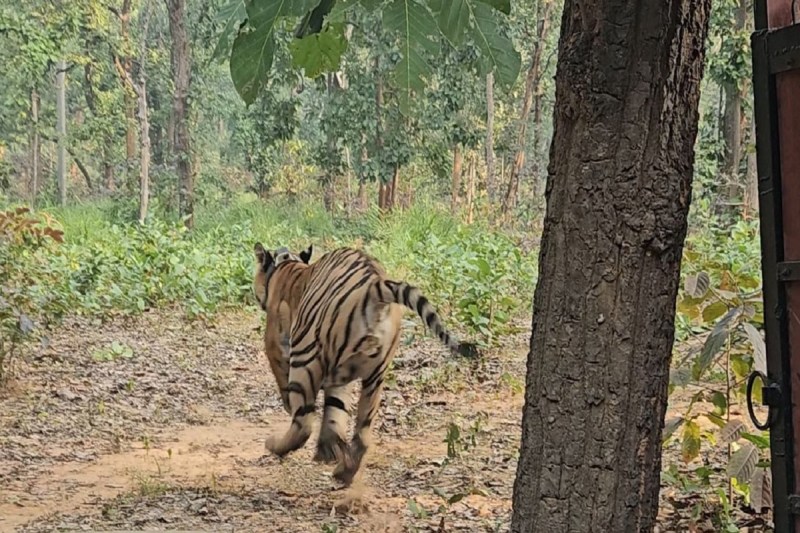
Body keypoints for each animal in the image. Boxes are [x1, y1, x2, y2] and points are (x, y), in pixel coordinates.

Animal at [252, 243, 475, 486]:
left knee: (304, 425)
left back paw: (275, 445)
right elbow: (336, 411)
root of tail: (374, 287)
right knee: (362, 433)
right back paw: (343, 470)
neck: (287, 264)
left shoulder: (275, 344)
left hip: (305, 357)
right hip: (374, 376)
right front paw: (329, 449)